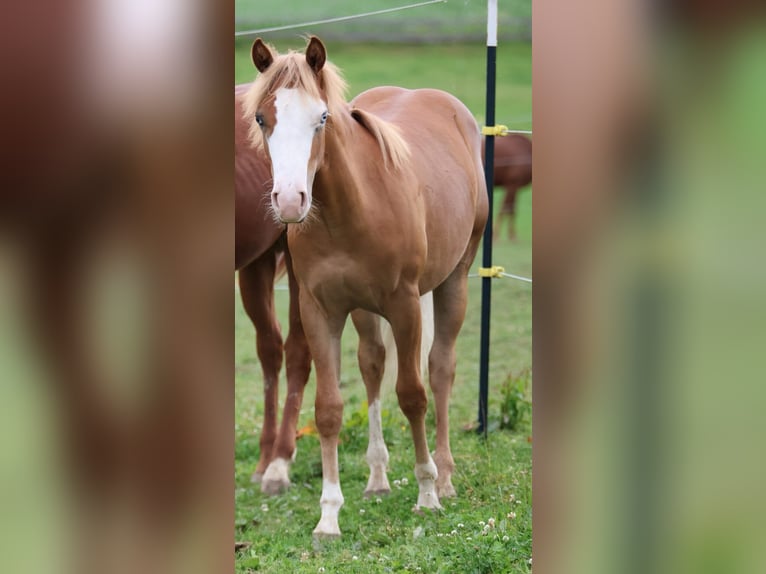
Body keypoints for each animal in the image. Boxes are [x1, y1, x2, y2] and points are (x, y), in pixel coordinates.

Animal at [243, 37, 488, 537]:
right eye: (261, 117)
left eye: (321, 117)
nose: (290, 201)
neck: (351, 209)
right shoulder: (321, 312)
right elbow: (329, 409)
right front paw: (328, 516)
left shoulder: (406, 306)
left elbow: (412, 395)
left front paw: (427, 495)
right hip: (363, 310)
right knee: (373, 364)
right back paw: (377, 479)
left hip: (453, 280)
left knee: (440, 368)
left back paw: (445, 476)